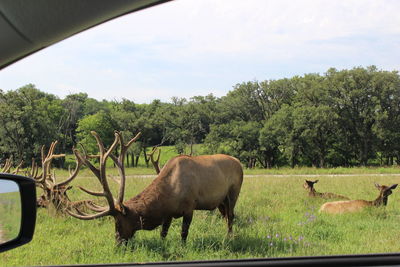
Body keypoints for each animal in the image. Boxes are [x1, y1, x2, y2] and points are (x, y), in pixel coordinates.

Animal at [67, 132, 244, 245]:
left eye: (118, 222)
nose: (117, 244)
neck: (170, 195)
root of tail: (239, 162)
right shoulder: (168, 214)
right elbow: (163, 233)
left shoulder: (190, 207)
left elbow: (184, 233)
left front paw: (182, 247)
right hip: (220, 201)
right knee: (225, 216)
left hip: (233, 192)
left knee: (231, 215)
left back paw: (230, 237)